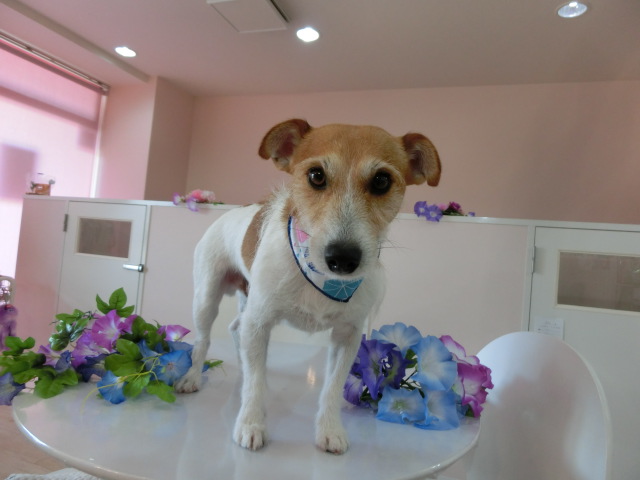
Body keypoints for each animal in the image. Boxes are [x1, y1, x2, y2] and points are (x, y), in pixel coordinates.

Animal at [174, 119, 441, 454]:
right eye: (316, 176)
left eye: (382, 181)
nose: (342, 257)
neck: (325, 281)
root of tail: (234, 210)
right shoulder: (260, 322)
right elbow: (255, 385)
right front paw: (251, 424)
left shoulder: (347, 336)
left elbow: (332, 388)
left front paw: (330, 430)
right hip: (207, 298)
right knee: (203, 340)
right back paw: (192, 377)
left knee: (237, 328)